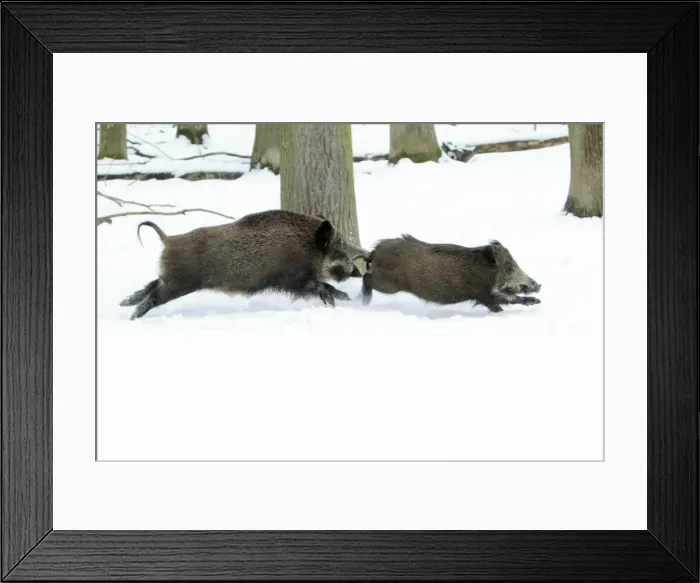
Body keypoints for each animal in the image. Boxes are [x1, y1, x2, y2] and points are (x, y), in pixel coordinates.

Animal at [120, 209, 370, 320]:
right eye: (339, 244)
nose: (359, 270)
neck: (307, 247)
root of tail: (168, 239)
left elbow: (323, 286)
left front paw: (343, 301)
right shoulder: (291, 280)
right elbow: (321, 286)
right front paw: (342, 300)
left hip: (172, 278)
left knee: (150, 284)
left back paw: (123, 303)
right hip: (179, 282)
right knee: (153, 295)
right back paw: (132, 317)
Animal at [361, 234, 541, 313]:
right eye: (510, 267)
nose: (539, 285)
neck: (486, 272)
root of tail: (374, 252)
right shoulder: (483, 294)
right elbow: (506, 300)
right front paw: (537, 302)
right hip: (388, 284)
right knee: (366, 278)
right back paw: (363, 301)